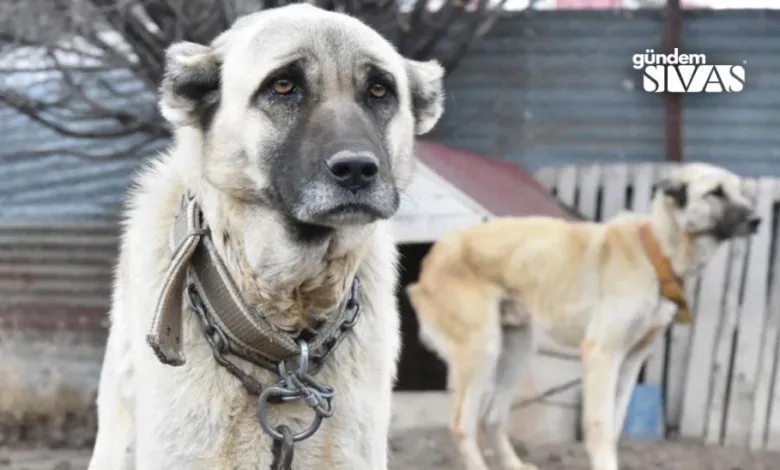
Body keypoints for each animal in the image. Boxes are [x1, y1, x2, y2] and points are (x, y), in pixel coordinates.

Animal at [408, 162, 760, 470]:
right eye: (716, 192)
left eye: (741, 192)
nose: (758, 220)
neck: (655, 251)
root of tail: (433, 257)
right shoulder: (602, 353)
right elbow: (600, 428)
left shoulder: (631, 361)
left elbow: (615, 426)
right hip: (483, 350)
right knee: (461, 425)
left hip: (518, 350)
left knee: (492, 416)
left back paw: (514, 465)